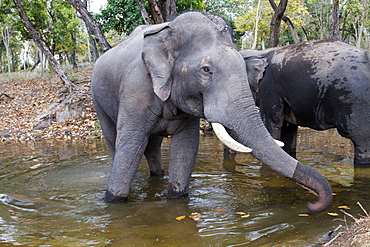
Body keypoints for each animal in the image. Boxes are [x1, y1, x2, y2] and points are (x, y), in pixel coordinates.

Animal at [90, 12, 332, 213]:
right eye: (206, 70)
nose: (312, 204)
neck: (169, 31)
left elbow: (186, 148)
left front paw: (176, 198)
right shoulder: (135, 91)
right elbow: (131, 146)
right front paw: (114, 201)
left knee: (153, 146)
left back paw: (157, 175)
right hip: (98, 99)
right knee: (115, 141)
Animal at [241, 40, 370, 166]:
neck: (259, 52)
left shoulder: (269, 88)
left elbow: (273, 125)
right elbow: (288, 129)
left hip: (356, 101)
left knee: (361, 140)